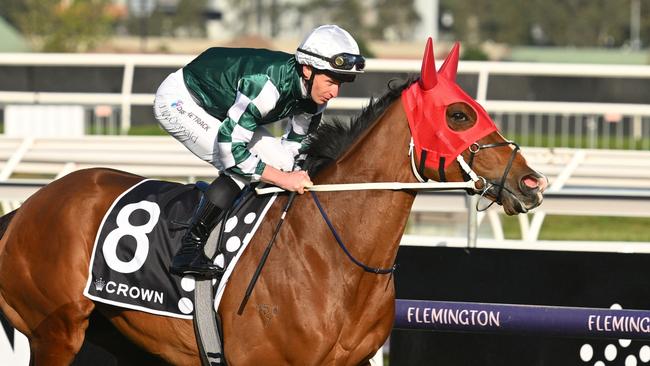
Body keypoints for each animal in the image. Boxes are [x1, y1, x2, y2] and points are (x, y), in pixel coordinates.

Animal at [0, 40, 548, 364]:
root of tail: (25, 209)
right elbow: (236, 146)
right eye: (458, 115)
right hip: (56, 333)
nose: (531, 181)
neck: (334, 257)